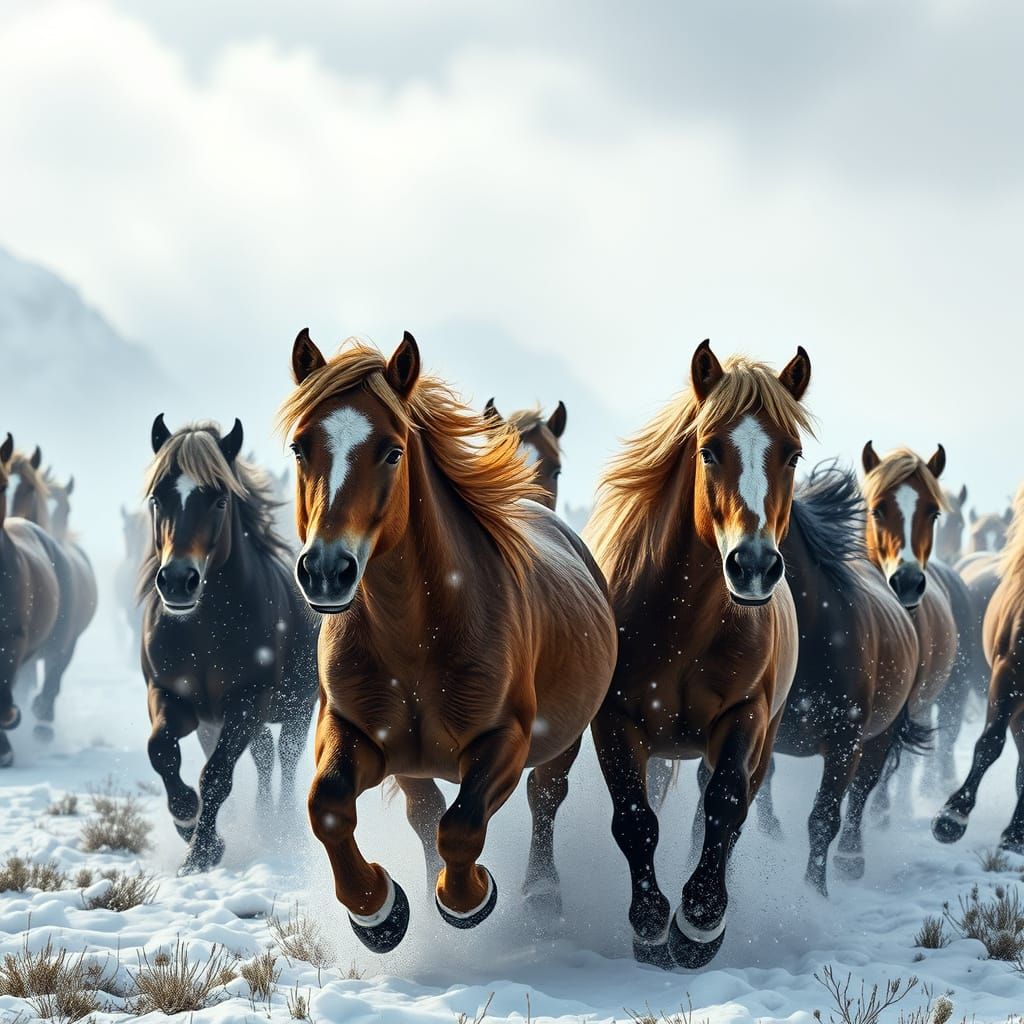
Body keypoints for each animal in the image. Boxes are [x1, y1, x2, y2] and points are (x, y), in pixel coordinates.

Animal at [140, 417, 318, 875]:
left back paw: (283, 824)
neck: (204, 631)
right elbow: (161, 751)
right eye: (157, 498)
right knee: (263, 758)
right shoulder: (170, 696)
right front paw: (186, 817)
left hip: (296, 709)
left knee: (285, 760)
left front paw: (202, 852)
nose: (177, 581)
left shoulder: (248, 699)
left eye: (219, 501)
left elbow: (217, 774)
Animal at [278, 329, 616, 953]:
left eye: (392, 451)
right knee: (424, 808)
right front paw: (379, 912)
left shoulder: (505, 738)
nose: (326, 571)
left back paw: (541, 895)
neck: (414, 639)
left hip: (563, 737)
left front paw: (468, 899)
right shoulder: (351, 729)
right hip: (411, 760)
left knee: (543, 797)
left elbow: (462, 826)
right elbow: (329, 806)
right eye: (299, 448)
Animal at [584, 339, 810, 969]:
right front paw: (651, 924)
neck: (684, 625)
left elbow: (726, 807)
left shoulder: (746, 715)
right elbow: (634, 819)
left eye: (793, 455)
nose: (753, 565)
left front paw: (700, 922)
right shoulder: (614, 720)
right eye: (709, 451)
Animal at [749, 463, 920, 893]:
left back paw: (850, 860)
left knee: (862, 792)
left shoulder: (845, 742)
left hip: (880, 736)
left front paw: (816, 892)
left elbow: (824, 818)